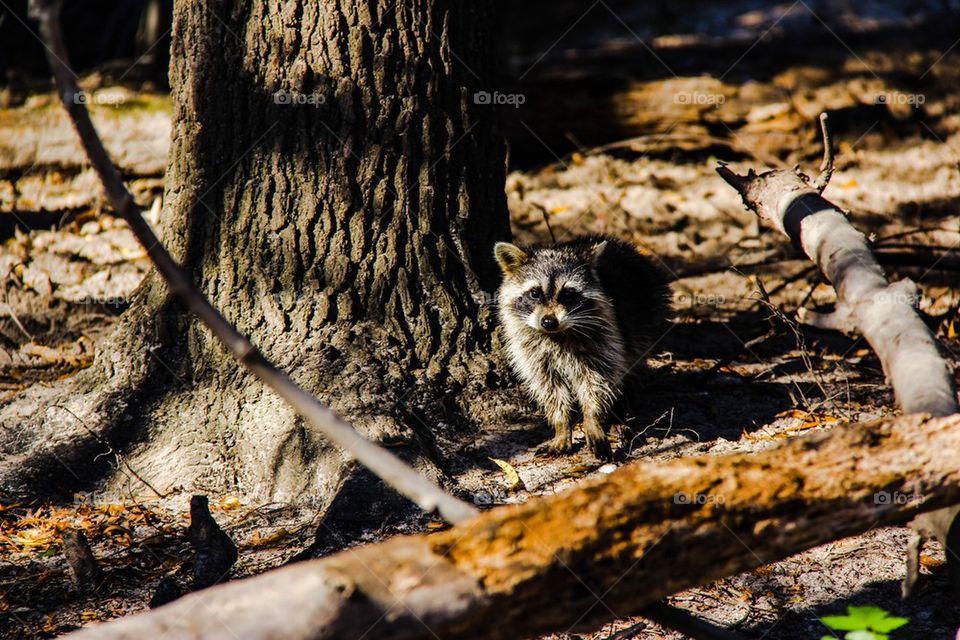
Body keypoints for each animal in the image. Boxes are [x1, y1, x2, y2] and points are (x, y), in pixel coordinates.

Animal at [494, 235, 671, 460]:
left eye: (568, 294)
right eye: (534, 293)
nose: (548, 322)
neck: (557, 334)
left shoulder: (604, 341)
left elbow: (597, 382)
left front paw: (593, 419)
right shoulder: (533, 352)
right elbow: (549, 387)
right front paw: (561, 425)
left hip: (648, 315)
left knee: (631, 365)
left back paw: (622, 411)